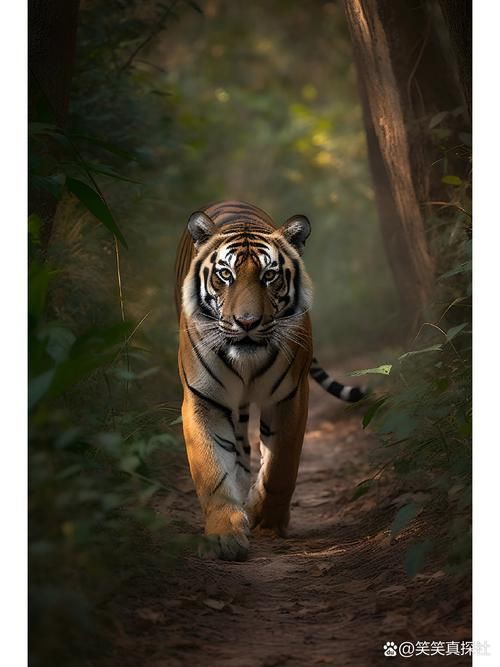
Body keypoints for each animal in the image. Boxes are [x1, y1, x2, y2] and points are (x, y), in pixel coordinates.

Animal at [175, 200, 364, 561]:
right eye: (225, 274)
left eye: (269, 276)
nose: (247, 322)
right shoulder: (203, 400)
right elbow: (212, 470)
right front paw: (224, 535)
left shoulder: (289, 396)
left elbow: (281, 465)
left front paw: (267, 519)